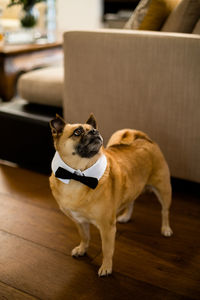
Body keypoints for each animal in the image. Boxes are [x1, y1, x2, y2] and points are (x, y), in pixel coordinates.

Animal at [49, 114, 173, 276]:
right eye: (77, 132)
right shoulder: (79, 221)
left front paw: (106, 267)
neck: (78, 175)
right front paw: (82, 249)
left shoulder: (107, 228)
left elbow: (107, 249)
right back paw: (126, 216)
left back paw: (166, 229)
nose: (95, 131)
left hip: (163, 189)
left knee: (164, 211)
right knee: (131, 201)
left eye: (95, 129)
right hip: (133, 187)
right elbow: (85, 237)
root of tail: (144, 139)